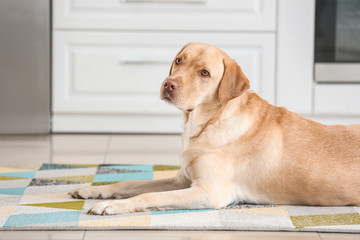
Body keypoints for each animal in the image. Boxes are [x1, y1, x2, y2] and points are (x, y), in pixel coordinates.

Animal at [69, 41, 360, 216]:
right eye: (179, 60)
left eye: (205, 73)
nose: (168, 84)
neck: (206, 124)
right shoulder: (183, 179)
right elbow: (131, 182)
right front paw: (92, 190)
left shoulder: (209, 192)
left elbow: (148, 195)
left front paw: (112, 205)